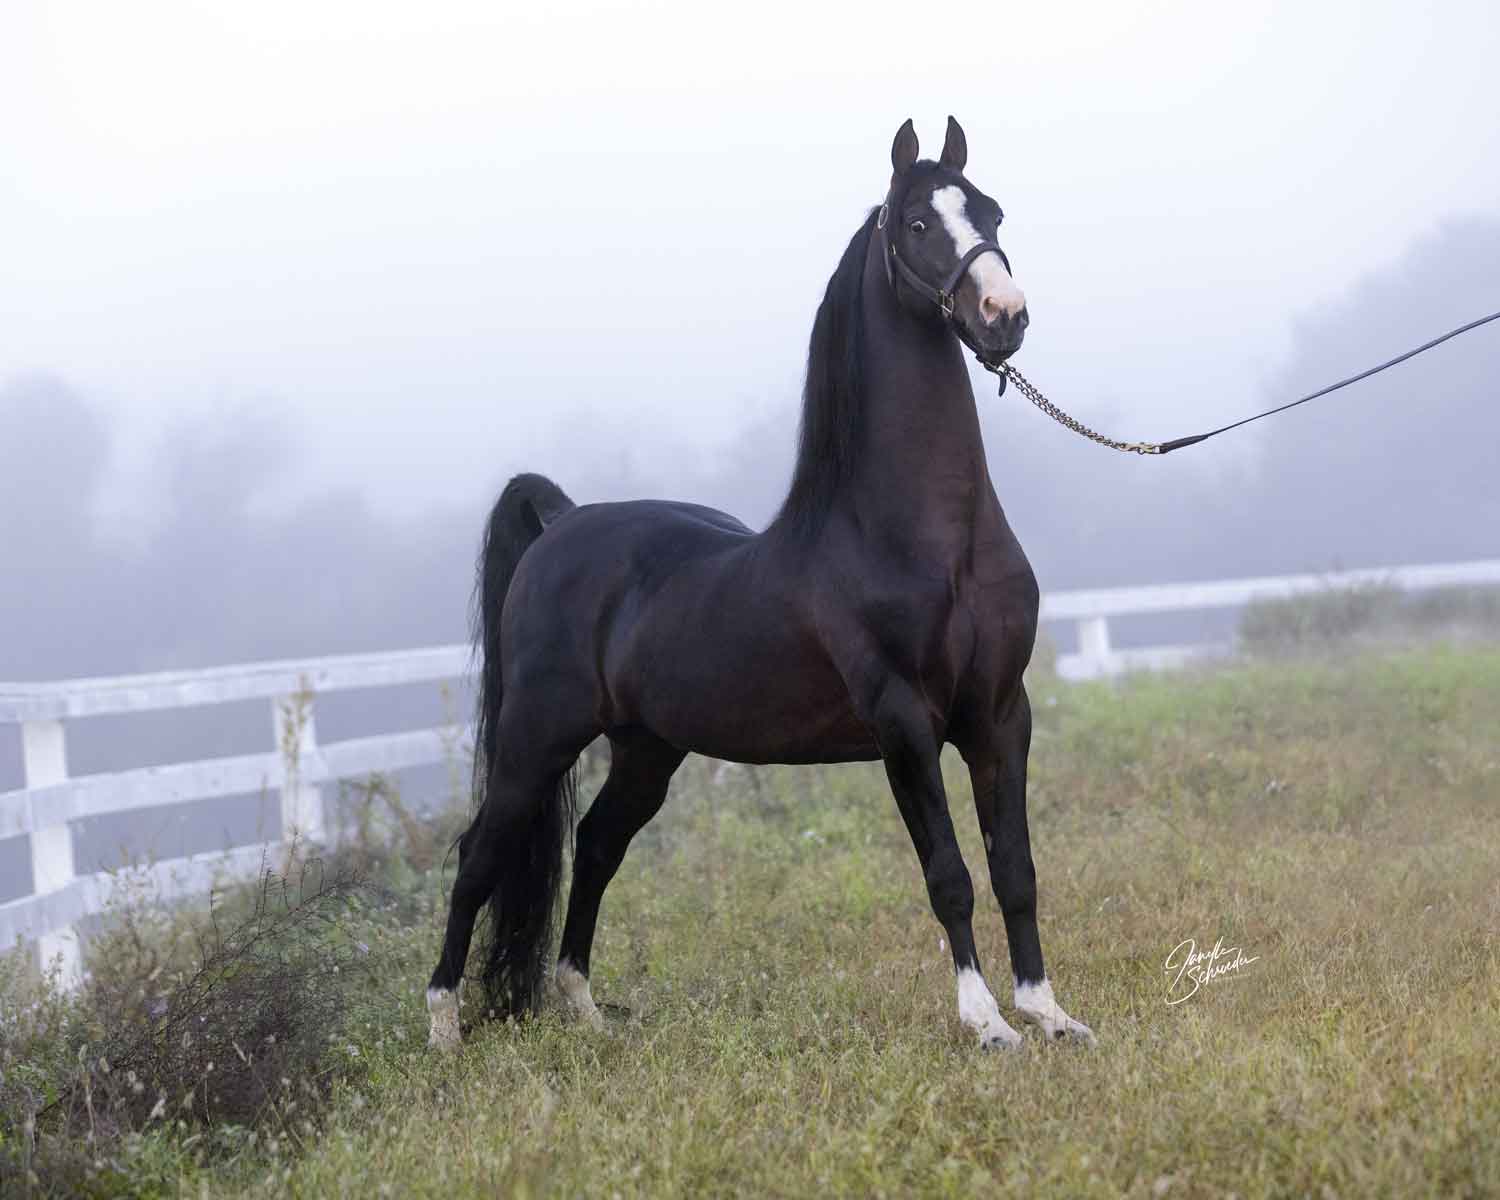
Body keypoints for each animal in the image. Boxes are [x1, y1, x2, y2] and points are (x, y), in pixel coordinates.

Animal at [427, 116, 1095, 1052]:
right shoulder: (905, 725)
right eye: (918, 224)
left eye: (992, 212)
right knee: (479, 856)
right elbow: (950, 874)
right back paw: (444, 1026)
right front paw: (987, 1022)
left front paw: (1047, 1010)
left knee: (595, 848)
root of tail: (562, 523)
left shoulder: (1002, 716)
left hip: (647, 748)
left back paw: (586, 1012)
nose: (1003, 317)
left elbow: (1016, 868)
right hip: (535, 738)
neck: (920, 539)